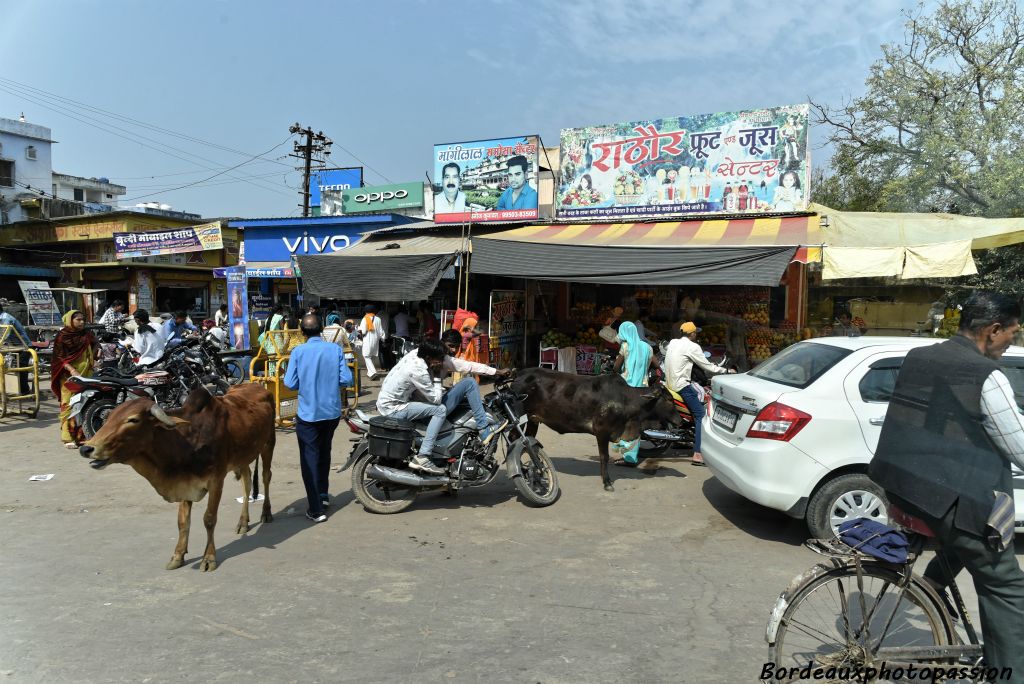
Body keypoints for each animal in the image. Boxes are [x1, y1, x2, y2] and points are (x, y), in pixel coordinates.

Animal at [81, 385, 276, 573]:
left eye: (133, 420)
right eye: (108, 417)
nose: (86, 448)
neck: (189, 440)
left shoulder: (216, 481)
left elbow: (209, 519)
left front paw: (208, 558)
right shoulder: (184, 483)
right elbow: (182, 522)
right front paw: (178, 556)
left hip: (268, 444)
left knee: (266, 477)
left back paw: (266, 513)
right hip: (243, 457)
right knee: (247, 482)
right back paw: (243, 522)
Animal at [509, 368, 679, 491]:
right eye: (669, 400)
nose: (681, 420)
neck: (626, 400)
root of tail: (519, 374)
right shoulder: (602, 432)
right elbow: (604, 457)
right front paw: (607, 482)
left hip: (533, 420)